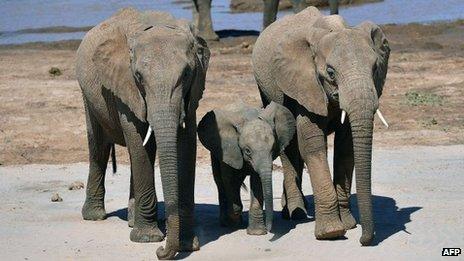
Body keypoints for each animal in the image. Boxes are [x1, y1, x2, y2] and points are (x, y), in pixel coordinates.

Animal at [76, 7, 210, 258]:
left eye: (187, 74)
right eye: (138, 77)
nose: (161, 252)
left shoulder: (191, 93)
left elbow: (186, 145)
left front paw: (188, 244)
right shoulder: (124, 86)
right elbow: (138, 142)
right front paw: (147, 239)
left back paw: (131, 219)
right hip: (87, 94)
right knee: (99, 147)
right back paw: (94, 216)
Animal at [198, 101, 296, 234]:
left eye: (272, 149)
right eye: (247, 151)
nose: (269, 229)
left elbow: (257, 181)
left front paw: (257, 233)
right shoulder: (229, 149)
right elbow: (229, 179)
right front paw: (234, 220)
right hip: (215, 151)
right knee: (220, 181)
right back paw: (226, 223)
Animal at [252, 7, 390, 245]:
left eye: (375, 69)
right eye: (331, 73)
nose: (365, 240)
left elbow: (346, 148)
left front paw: (349, 224)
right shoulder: (305, 84)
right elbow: (312, 145)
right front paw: (331, 232)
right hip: (267, 88)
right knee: (289, 146)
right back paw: (295, 212)